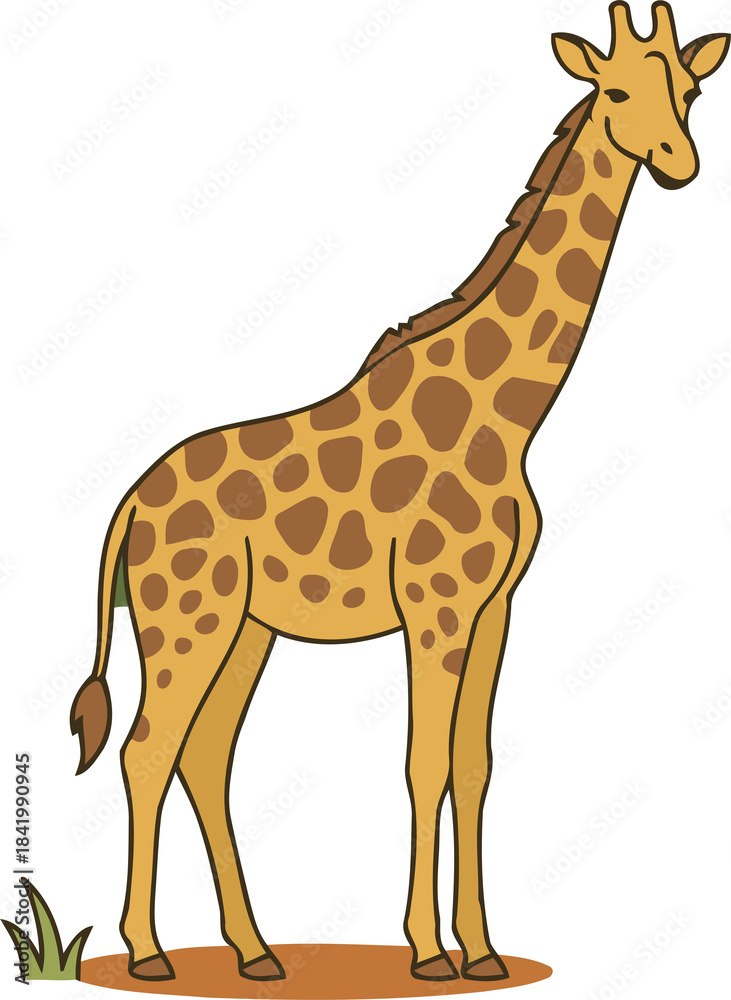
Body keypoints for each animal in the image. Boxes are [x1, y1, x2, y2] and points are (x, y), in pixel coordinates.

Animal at [70, 2, 728, 985]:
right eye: (613, 91)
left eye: (687, 89)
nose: (679, 164)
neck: (510, 417)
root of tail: (129, 507)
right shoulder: (434, 605)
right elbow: (423, 763)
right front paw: (426, 952)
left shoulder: (494, 607)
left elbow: (474, 763)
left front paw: (481, 950)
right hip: (186, 620)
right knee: (148, 749)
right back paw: (149, 954)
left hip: (245, 630)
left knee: (205, 756)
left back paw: (256, 952)